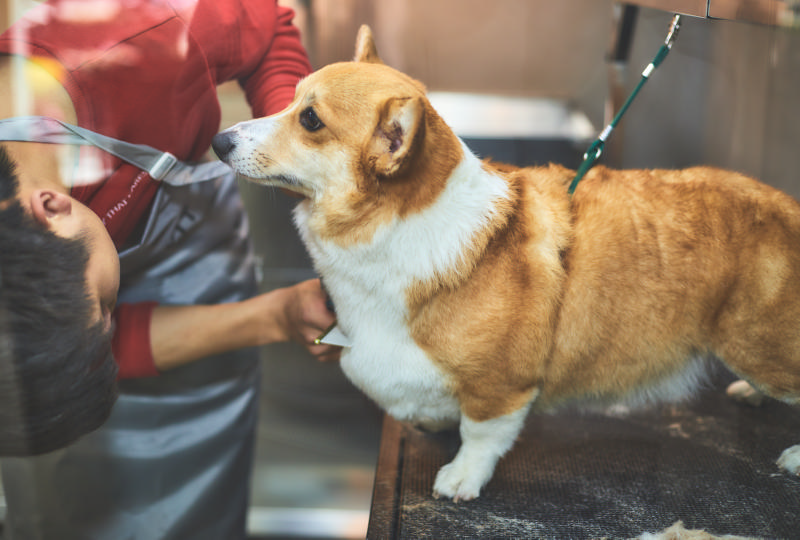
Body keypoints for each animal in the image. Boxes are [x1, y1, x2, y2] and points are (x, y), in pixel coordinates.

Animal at [212, 27, 800, 502]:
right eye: (290, 100)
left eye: (311, 120)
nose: (218, 139)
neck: (403, 223)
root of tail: (789, 206)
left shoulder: (502, 386)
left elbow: (480, 435)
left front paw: (460, 478)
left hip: (754, 343)